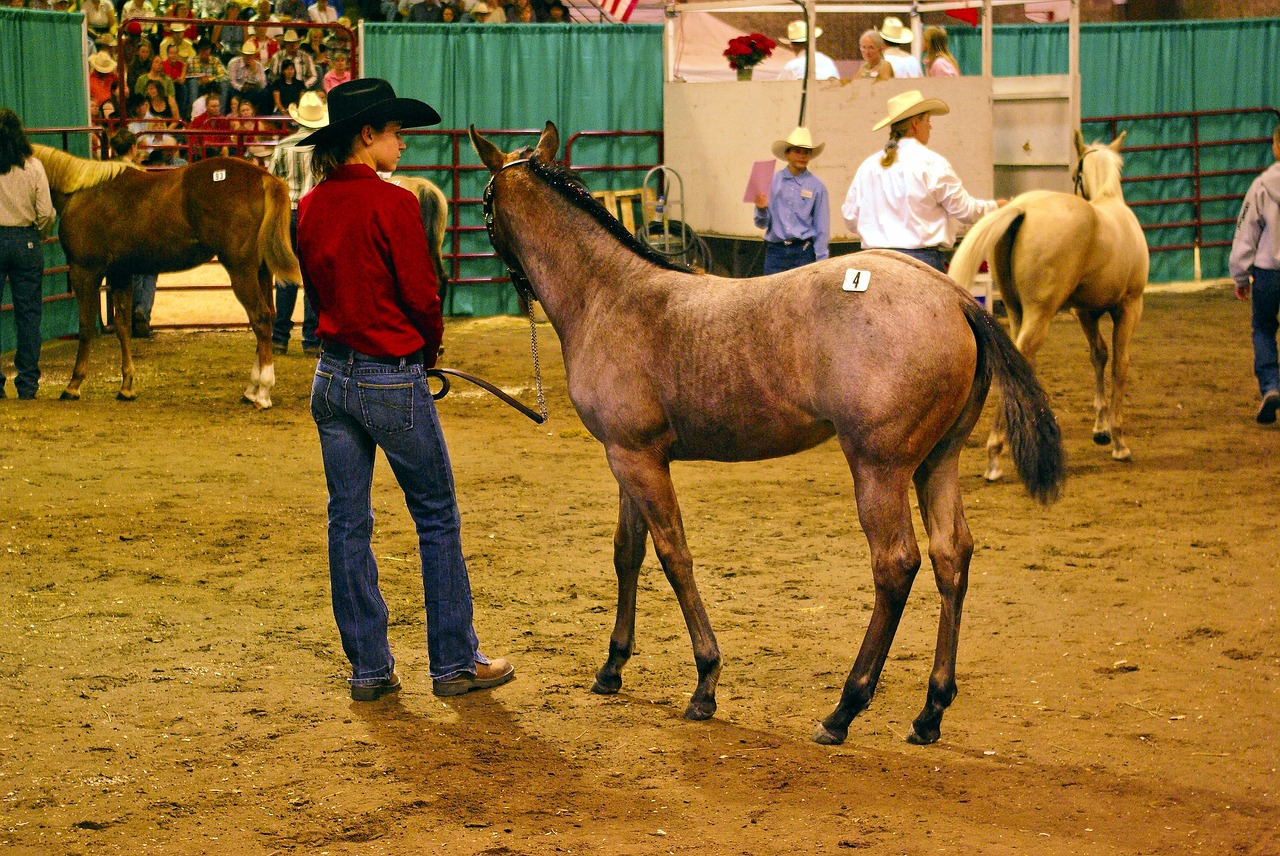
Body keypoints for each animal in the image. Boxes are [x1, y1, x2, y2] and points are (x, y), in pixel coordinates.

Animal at [33, 145, 298, 409]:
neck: (81, 192)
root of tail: (262, 177)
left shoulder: (85, 271)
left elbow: (86, 327)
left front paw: (73, 385)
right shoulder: (120, 273)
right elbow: (122, 327)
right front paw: (126, 386)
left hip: (241, 270)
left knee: (260, 319)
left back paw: (263, 393)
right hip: (261, 271)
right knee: (268, 317)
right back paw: (252, 389)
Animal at [476, 123, 1064, 742]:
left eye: (485, 202)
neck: (610, 296)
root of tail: (954, 298)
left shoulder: (638, 460)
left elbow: (673, 555)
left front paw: (705, 682)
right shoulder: (627, 456)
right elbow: (627, 552)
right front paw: (612, 667)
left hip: (879, 468)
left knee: (896, 564)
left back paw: (845, 707)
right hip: (937, 462)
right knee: (952, 556)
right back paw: (930, 711)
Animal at [952, 132, 1152, 481]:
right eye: (1076, 176)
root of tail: (1022, 207)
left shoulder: (1085, 311)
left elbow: (1098, 355)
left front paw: (1101, 429)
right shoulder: (1129, 306)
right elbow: (1120, 364)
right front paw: (1118, 440)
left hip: (1017, 312)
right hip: (1040, 315)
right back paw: (995, 454)